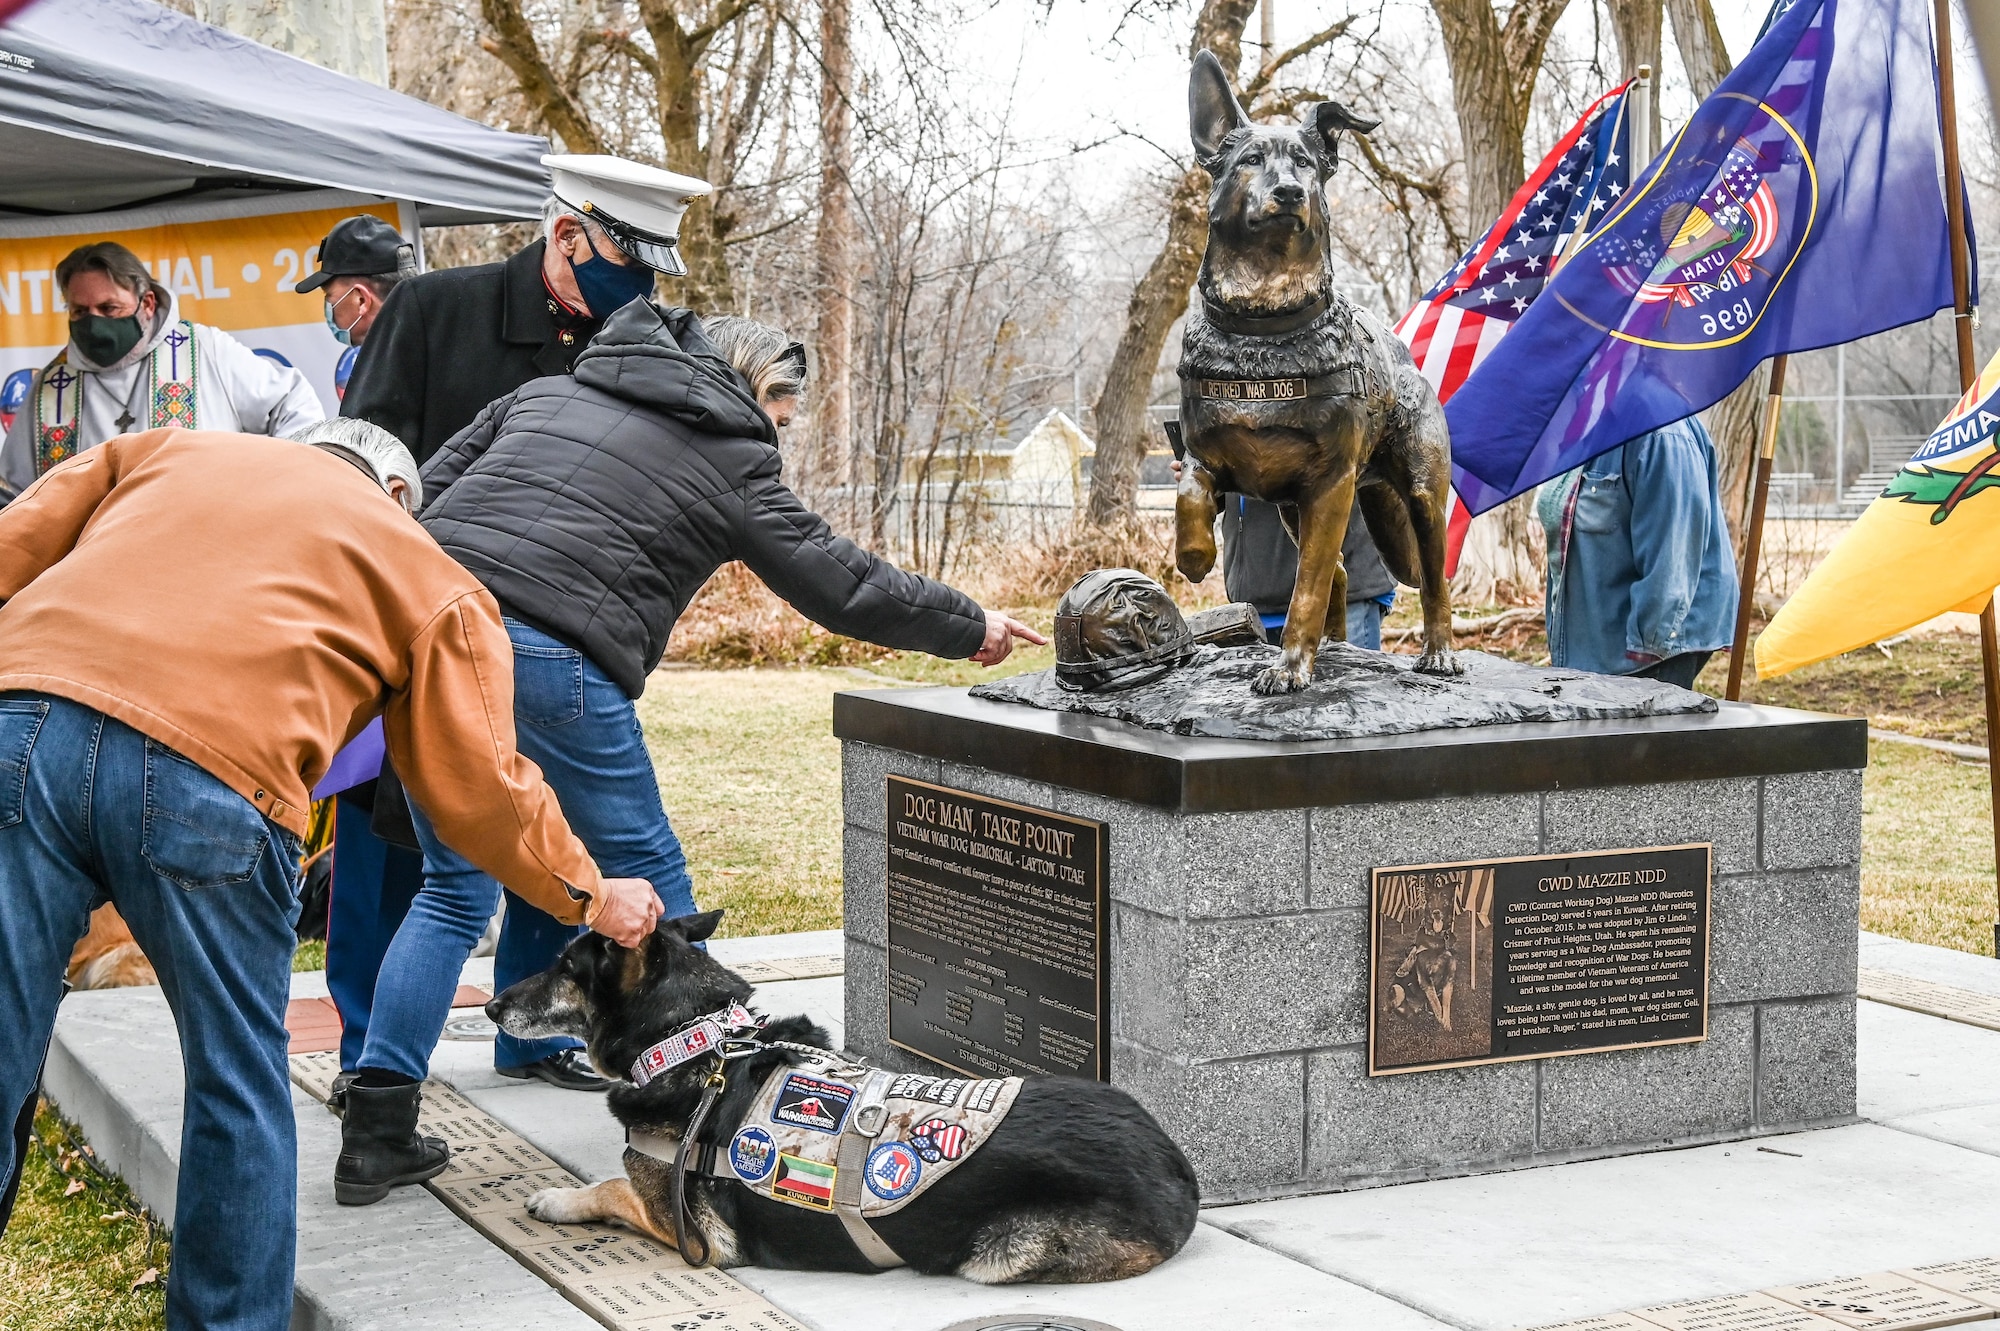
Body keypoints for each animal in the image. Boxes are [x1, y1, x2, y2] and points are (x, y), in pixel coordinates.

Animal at [488, 907, 1200, 1279]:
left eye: (565, 966)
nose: (492, 1006)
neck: (696, 1040)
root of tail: (1177, 1169)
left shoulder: (700, 1240)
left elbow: (612, 1188)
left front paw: (556, 1199)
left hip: (998, 1253)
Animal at [1168, 49, 1456, 695]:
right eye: (1250, 161)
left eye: (1304, 163)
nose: (1289, 192)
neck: (1263, 331)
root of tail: (1404, 355)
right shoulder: (1208, 457)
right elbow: (1189, 491)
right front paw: (1195, 554)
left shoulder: (1331, 484)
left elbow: (1306, 589)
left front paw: (1289, 666)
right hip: (1289, 508)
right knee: (1344, 572)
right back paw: (1338, 649)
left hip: (1420, 490)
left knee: (1429, 574)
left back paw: (1438, 652)